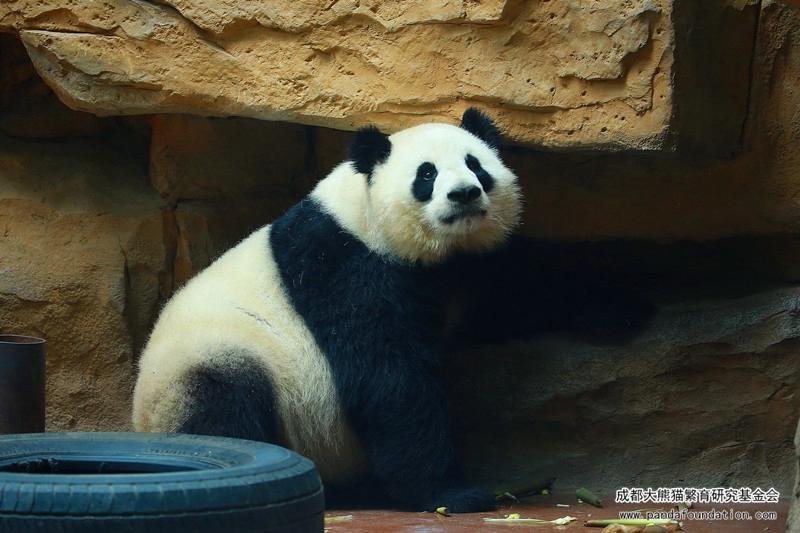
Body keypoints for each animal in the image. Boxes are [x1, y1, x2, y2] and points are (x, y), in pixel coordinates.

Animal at [132, 108, 522, 513]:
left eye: (475, 165)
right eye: (426, 174)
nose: (463, 193)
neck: (360, 219)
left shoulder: (461, 270)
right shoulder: (344, 271)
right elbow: (389, 381)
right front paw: (453, 494)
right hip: (208, 362)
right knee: (221, 415)